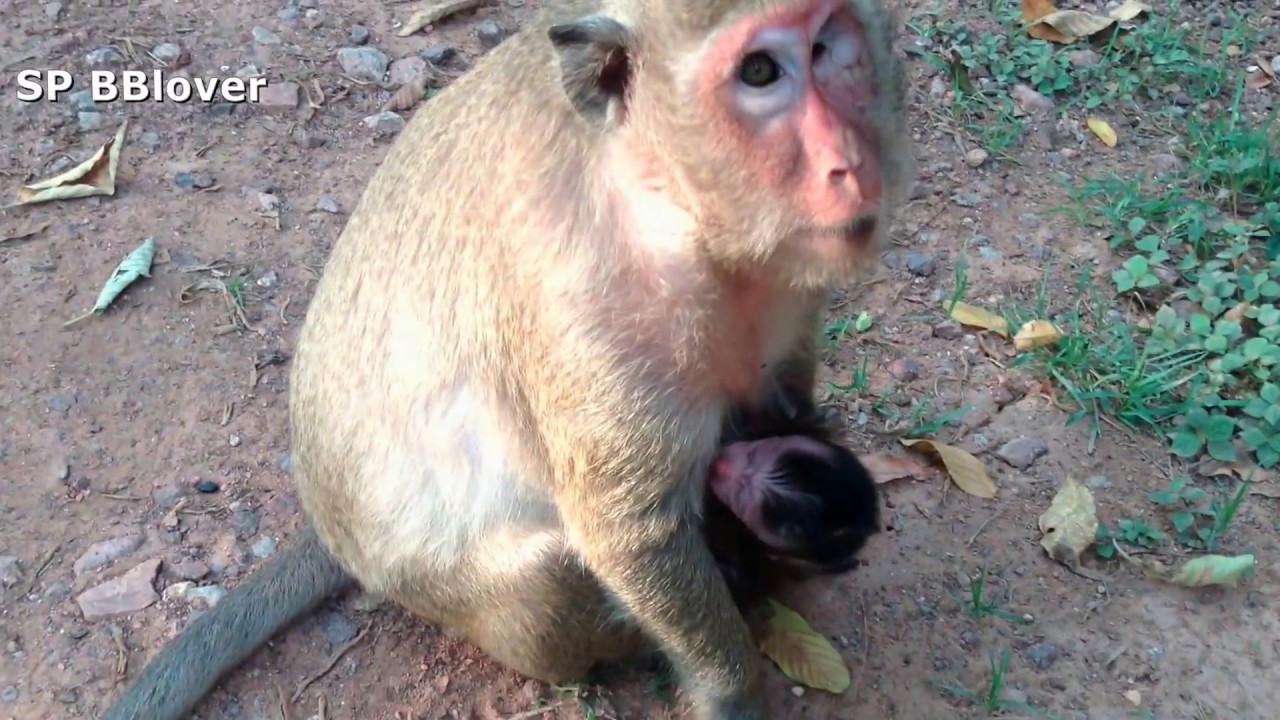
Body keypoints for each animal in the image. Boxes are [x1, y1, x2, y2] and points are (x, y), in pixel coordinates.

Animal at [97, 1, 913, 719]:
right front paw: (732, 689)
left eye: (825, 48)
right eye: (759, 71)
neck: (667, 203)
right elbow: (631, 532)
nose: (848, 161)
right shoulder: (587, 308)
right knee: (551, 583)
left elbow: (781, 396)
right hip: (450, 589)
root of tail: (331, 524)